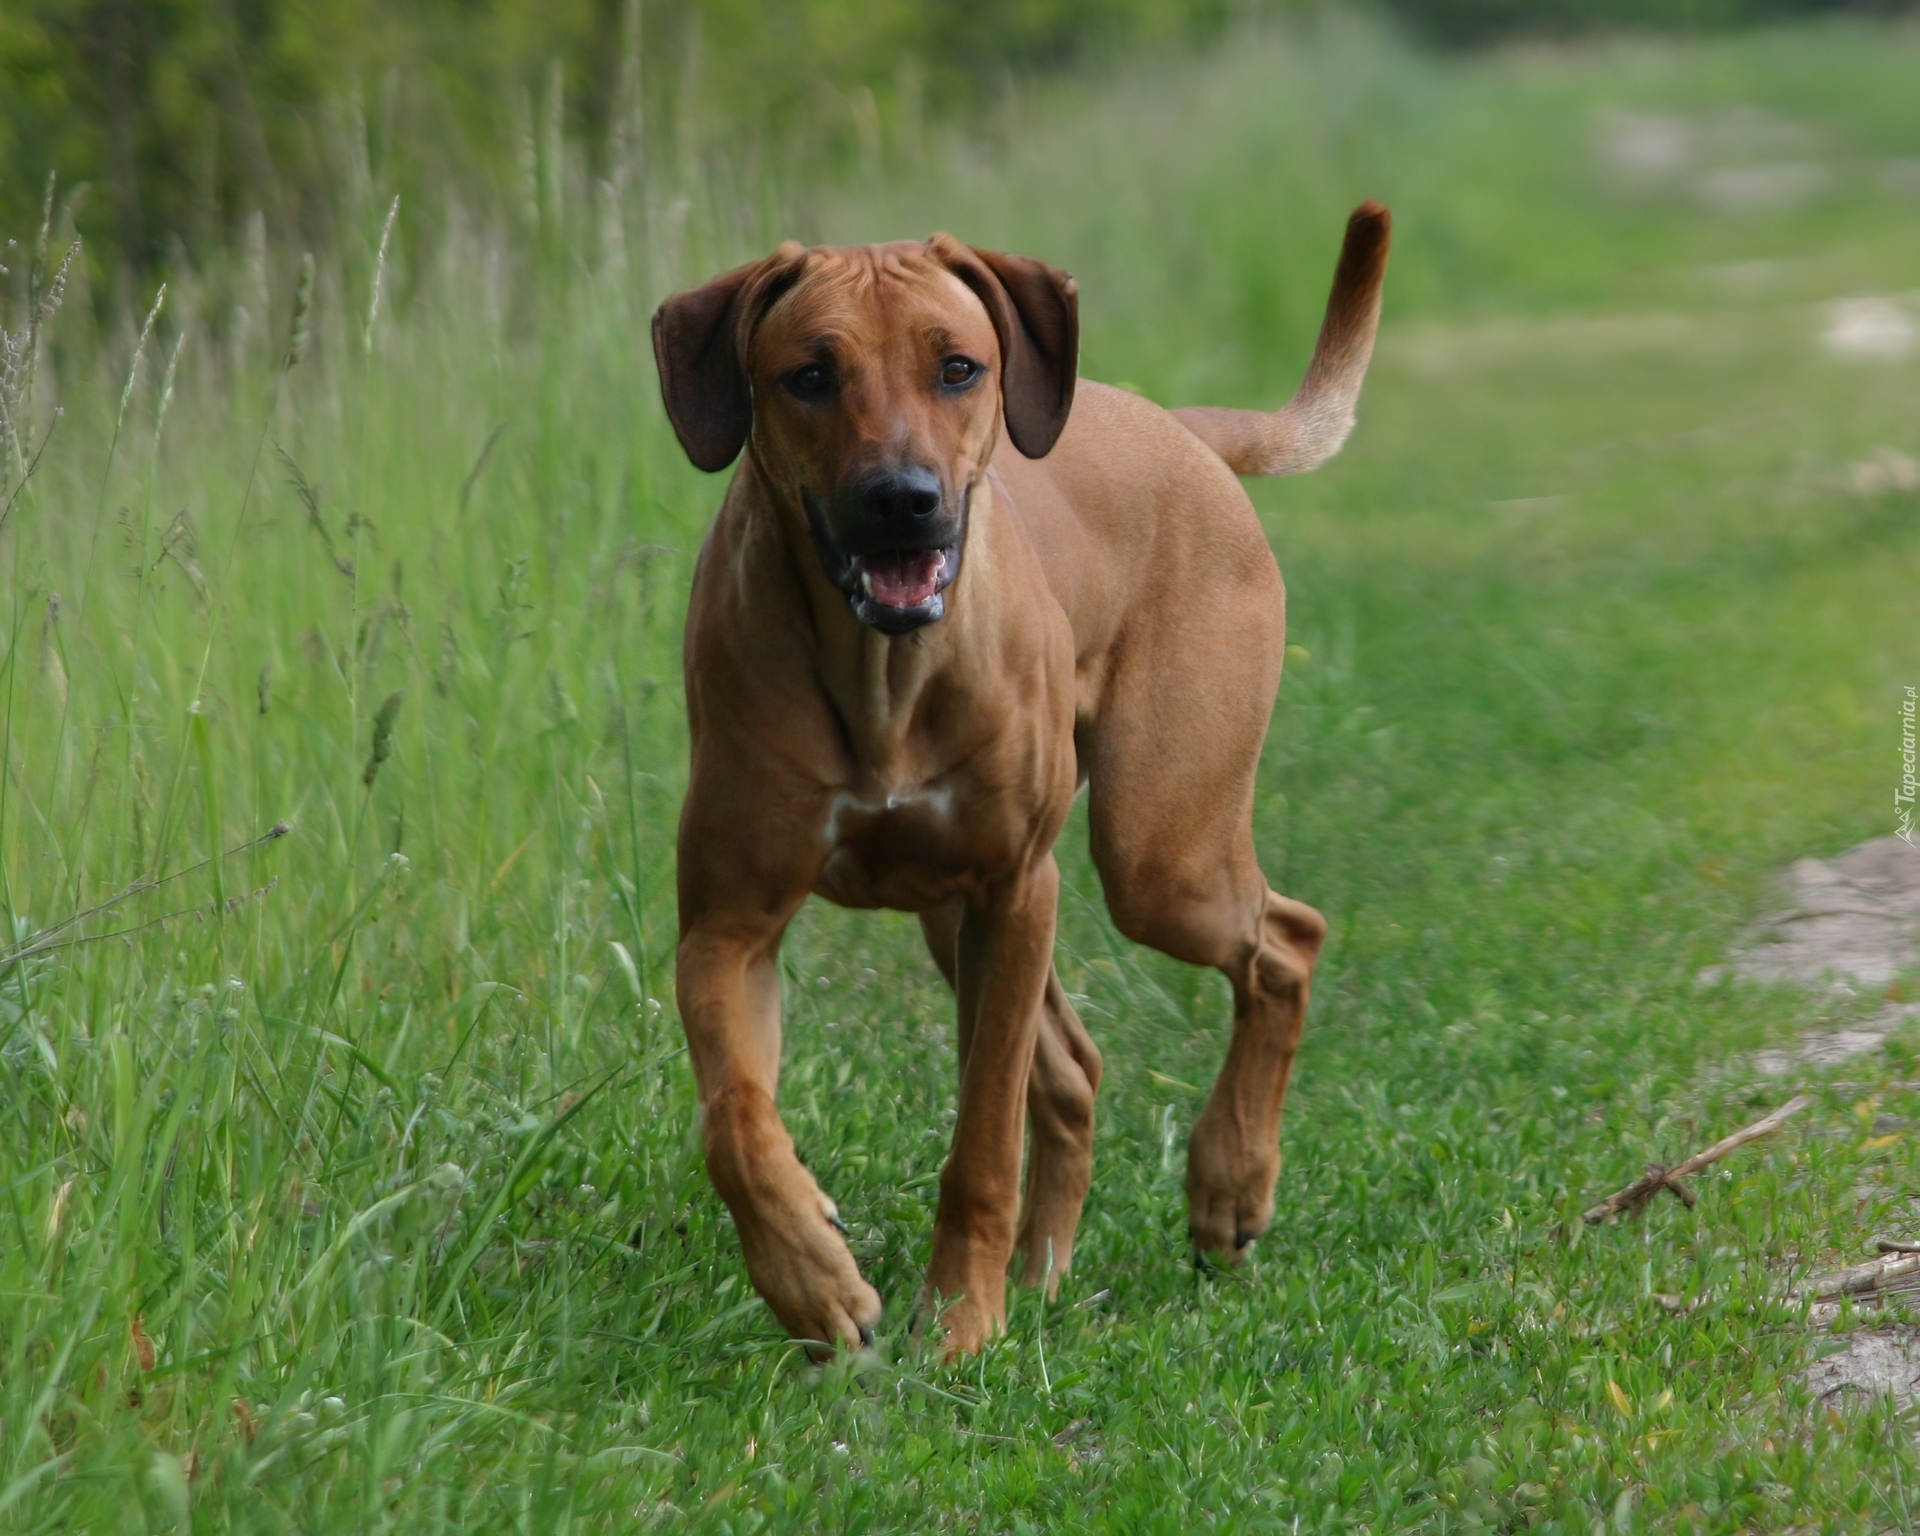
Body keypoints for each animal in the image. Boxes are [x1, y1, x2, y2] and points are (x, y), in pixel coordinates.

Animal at [652, 203, 1390, 1359]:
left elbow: (984, 1133)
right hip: (957, 917)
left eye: (958, 367)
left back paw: (1227, 1187)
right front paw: (814, 1283)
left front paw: (959, 1321)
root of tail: (1182, 429)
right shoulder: (727, 927)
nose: (901, 502)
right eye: (809, 375)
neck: (883, 672)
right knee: (1078, 1066)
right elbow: (734, 1120)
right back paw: (1043, 1277)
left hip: (1155, 853)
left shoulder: (1013, 890)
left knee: (1287, 941)